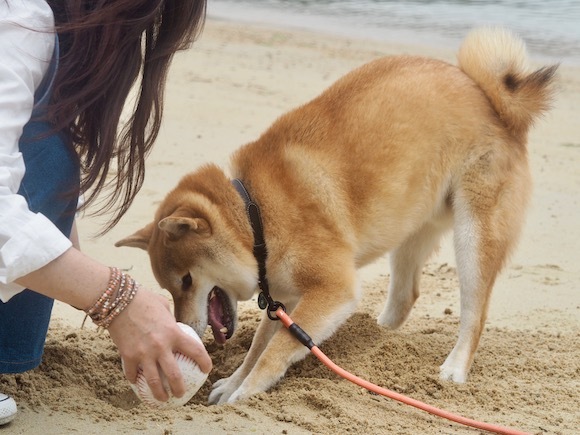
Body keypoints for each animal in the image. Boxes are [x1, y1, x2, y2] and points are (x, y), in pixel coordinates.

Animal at [116, 28, 556, 406]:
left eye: (186, 281)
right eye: (169, 288)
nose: (184, 330)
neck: (255, 214)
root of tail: (494, 103)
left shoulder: (329, 290)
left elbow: (276, 348)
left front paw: (247, 390)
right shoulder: (285, 298)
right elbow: (259, 344)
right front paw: (234, 381)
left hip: (473, 236)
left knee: (474, 314)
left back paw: (454, 368)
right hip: (411, 230)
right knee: (405, 296)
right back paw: (373, 339)